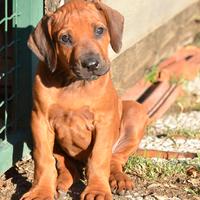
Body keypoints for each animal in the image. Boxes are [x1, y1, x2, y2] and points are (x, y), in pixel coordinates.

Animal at [20, 0, 148, 199]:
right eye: (65, 38)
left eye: (99, 30)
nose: (92, 64)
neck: (74, 83)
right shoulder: (39, 120)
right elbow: (43, 159)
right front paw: (41, 190)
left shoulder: (104, 122)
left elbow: (99, 158)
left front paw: (97, 190)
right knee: (64, 163)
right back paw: (61, 182)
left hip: (136, 112)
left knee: (114, 159)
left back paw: (118, 178)